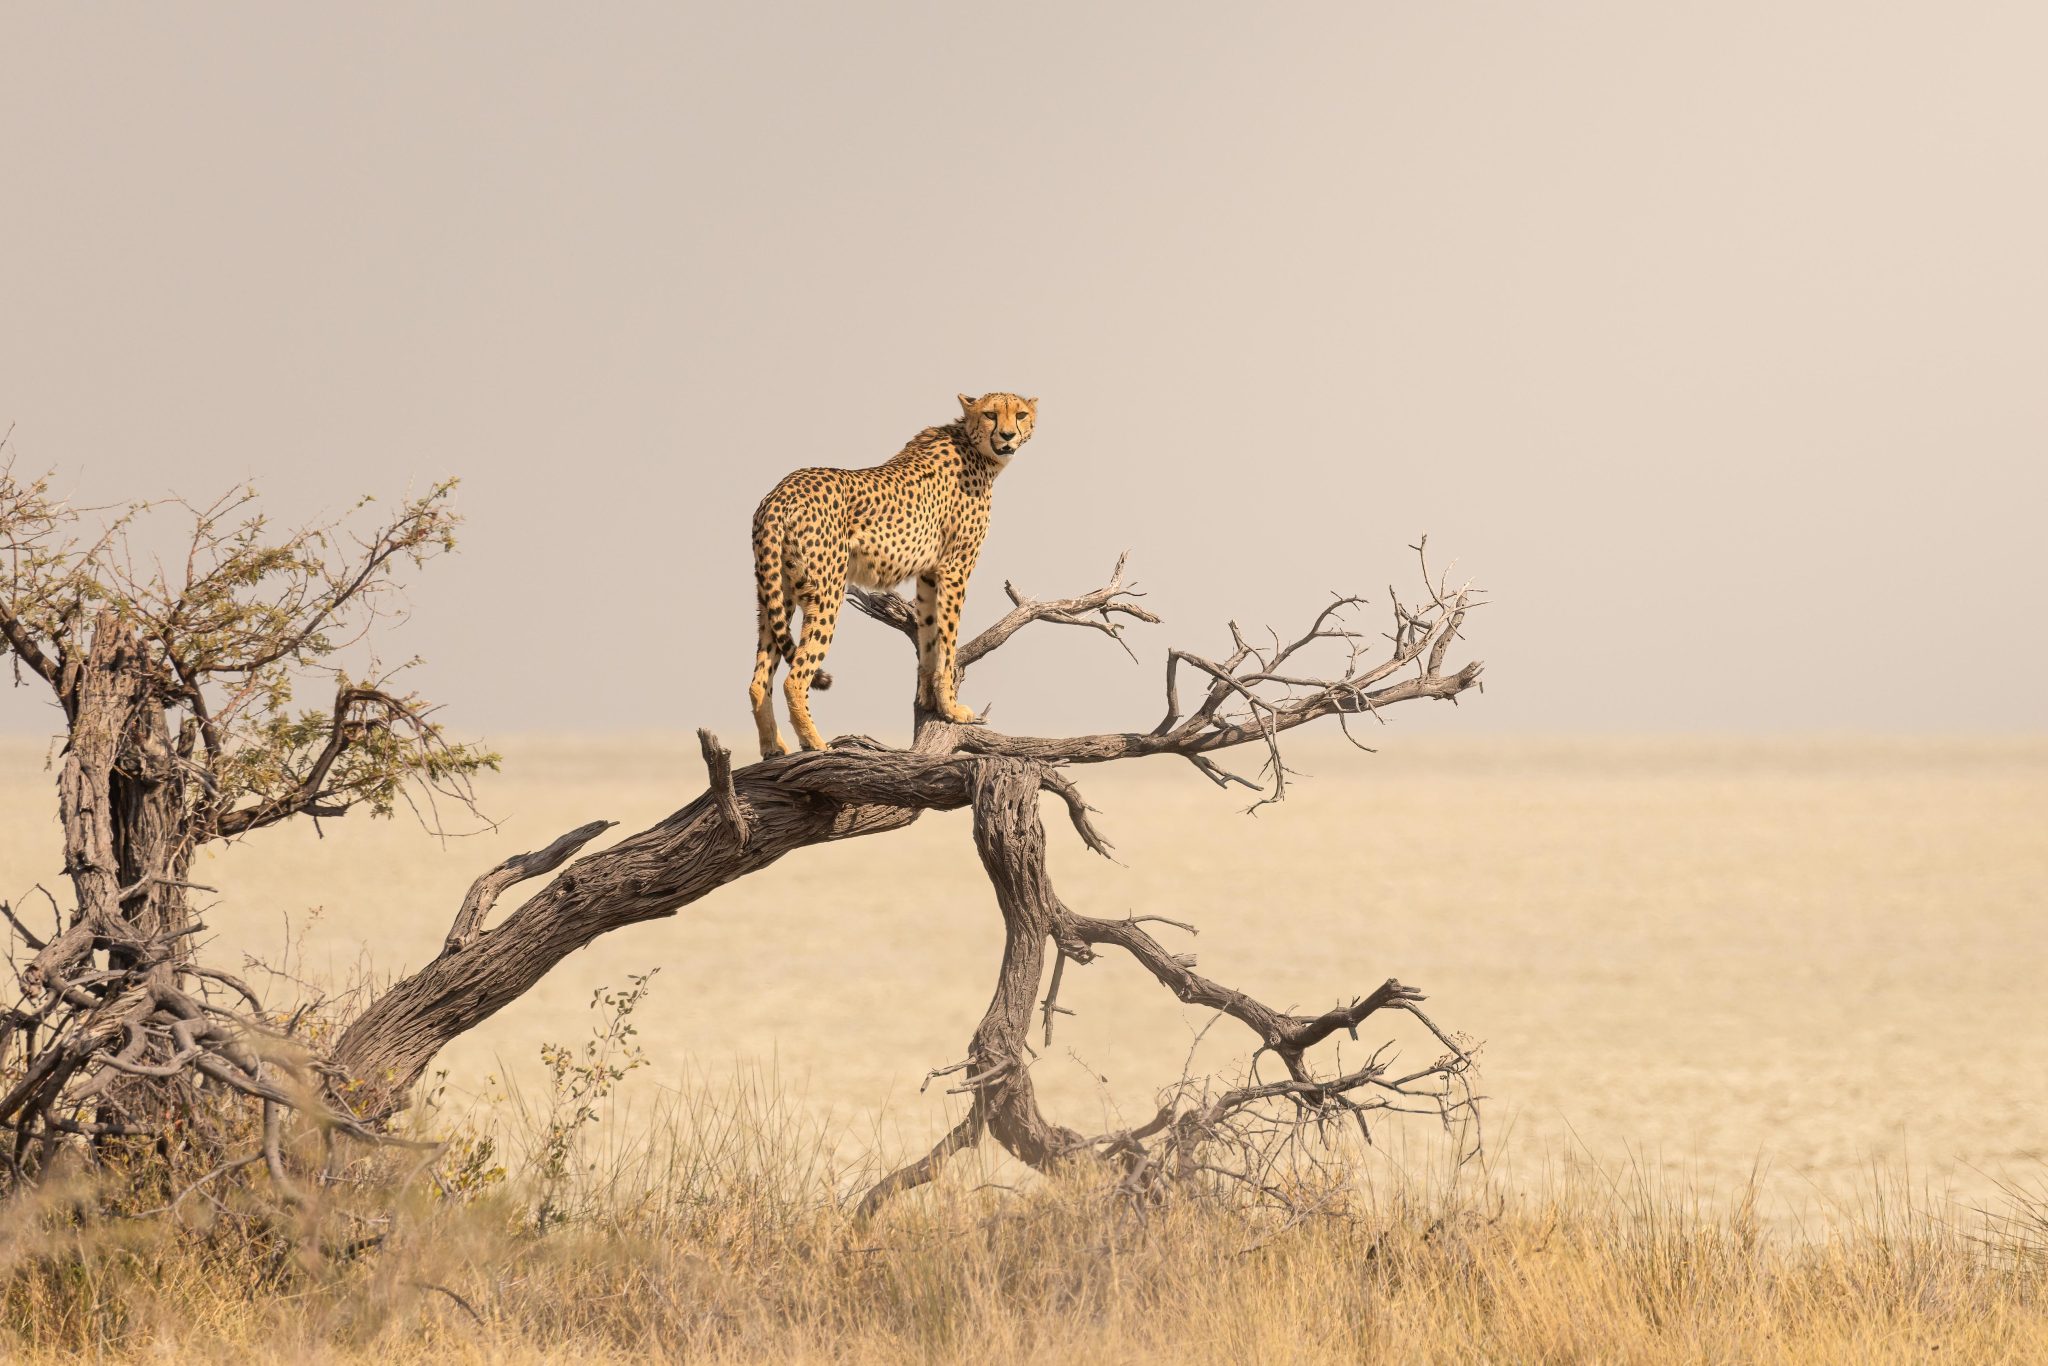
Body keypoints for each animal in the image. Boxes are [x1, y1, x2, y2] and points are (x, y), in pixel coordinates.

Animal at [748, 391, 1037, 759]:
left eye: (1021, 414)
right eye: (990, 414)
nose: (1007, 435)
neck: (977, 450)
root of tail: (781, 491)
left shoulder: (928, 573)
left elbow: (929, 637)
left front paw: (929, 699)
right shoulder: (955, 568)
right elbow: (949, 641)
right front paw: (951, 709)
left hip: (775, 594)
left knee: (758, 681)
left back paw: (773, 747)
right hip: (826, 593)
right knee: (794, 677)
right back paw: (814, 742)